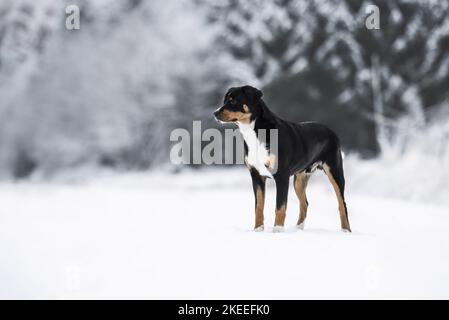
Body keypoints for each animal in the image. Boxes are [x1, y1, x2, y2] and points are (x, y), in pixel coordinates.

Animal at [213, 85, 350, 232]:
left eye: (233, 100)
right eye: (225, 100)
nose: (215, 113)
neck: (255, 132)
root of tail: (331, 131)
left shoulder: (282, 176)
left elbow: (280, 207)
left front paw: (277, 230)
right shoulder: (256, 175)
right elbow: (258, 207)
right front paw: (258, 229)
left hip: (335, 172)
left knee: (342, 204)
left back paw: (346, 230)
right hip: (299, 180)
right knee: (305, 203)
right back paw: (298, 228)